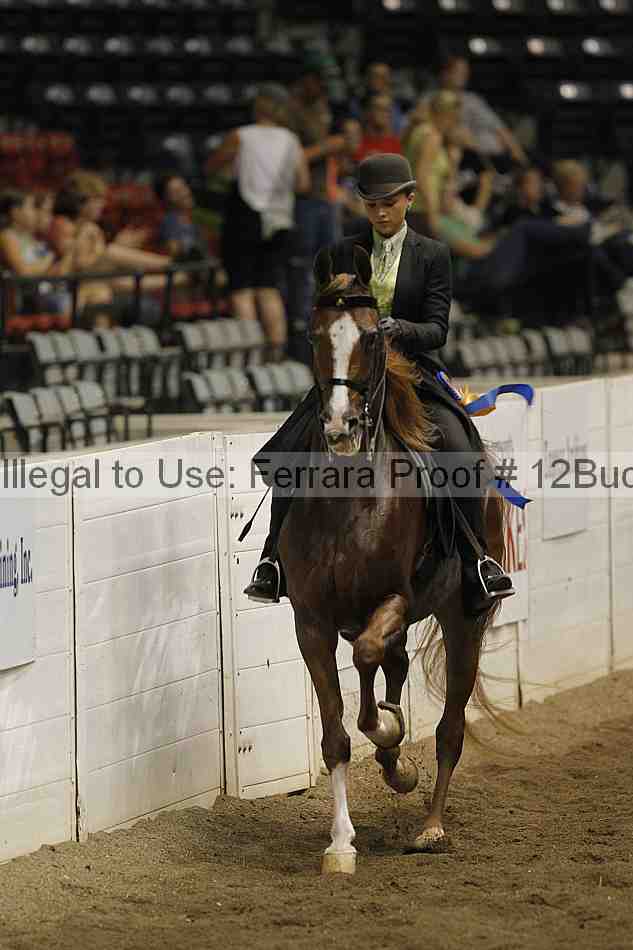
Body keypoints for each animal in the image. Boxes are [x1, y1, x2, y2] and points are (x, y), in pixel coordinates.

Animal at [277, 245, 507, 874]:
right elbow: (338, 732)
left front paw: (391, 743)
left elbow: (367, 670)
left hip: (464, 618)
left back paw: (429, 826)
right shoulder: (310, 622)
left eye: (373, 339)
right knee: (391, 667)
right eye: (314, 336)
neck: (348, 501)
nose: (339, 426)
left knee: (450, 726)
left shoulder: (397, 600)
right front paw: (340, 845)